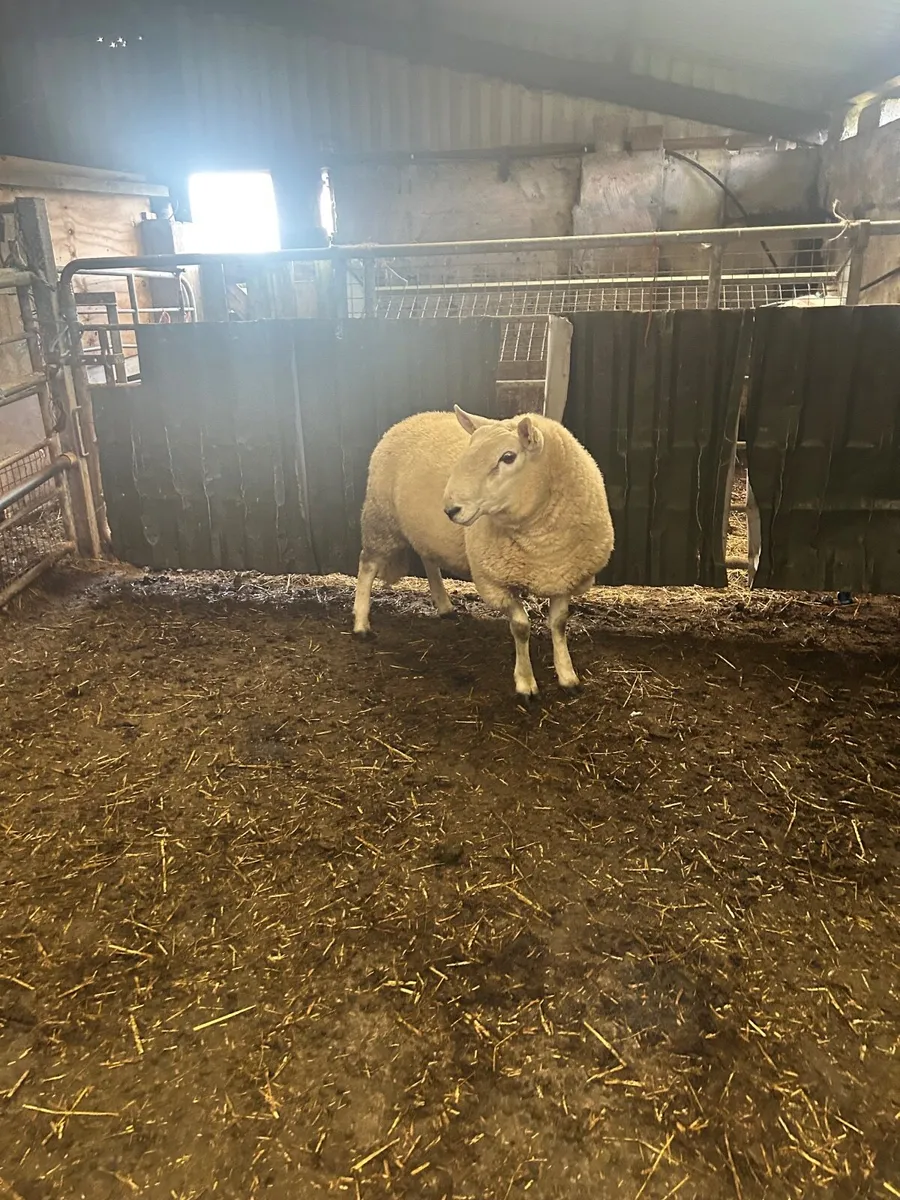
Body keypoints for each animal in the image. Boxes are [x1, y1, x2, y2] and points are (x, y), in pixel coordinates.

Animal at [353, 406, 614, 700]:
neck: (539, 544)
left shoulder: (564, 576)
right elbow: (521, 627)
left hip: (423, 529)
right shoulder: (495, 581)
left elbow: (559, 625)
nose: (451, 509)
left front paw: (568, 677)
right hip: (381, 519)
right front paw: (526, 683)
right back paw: (361, 624)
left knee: (429, 560)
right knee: (367, 566)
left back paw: (444, 606)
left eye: (508, 457)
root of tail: (411, 418)